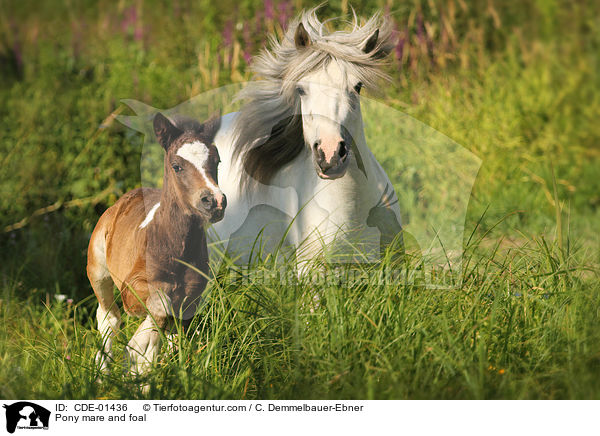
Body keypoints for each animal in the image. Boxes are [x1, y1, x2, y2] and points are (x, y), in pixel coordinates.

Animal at [85, 112, 224, 374]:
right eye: (177, 166)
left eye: (217, 160)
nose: (214, 202)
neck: (174, 248)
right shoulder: (132, 288)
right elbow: (157, 309)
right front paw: (137, 356)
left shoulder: (191, 297)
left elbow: (172, 330)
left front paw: (144, 362)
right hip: (98, 270)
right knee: (108, 317)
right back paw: (102, 373)